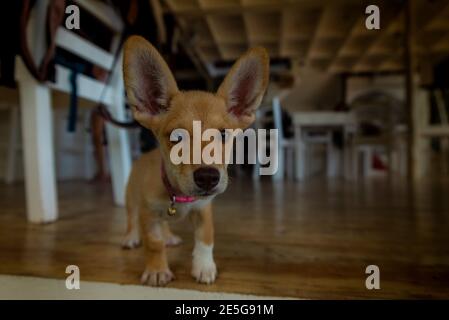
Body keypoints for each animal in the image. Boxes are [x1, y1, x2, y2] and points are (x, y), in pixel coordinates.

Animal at [121, 35, 268, 288]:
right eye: (177, 137)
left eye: (223, 135)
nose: (207, 177)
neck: (179, 197)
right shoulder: (148, 215)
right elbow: (153, 244)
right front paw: (157, 270)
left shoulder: (203, 210)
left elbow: (205, 241)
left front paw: (204, 267)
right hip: (131, 198)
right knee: (131, 219)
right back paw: (131, 237)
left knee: (165, 225)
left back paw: (169, 236)